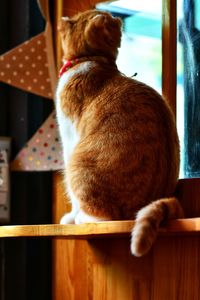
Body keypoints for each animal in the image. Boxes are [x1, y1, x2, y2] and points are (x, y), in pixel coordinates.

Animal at [55, 10, 184, 256]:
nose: (117, 17)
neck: (89, 59)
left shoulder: (69, 140)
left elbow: (73, 198)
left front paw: (70, 217)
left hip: (78, 164)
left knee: (106, 217)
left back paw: (82, 218)